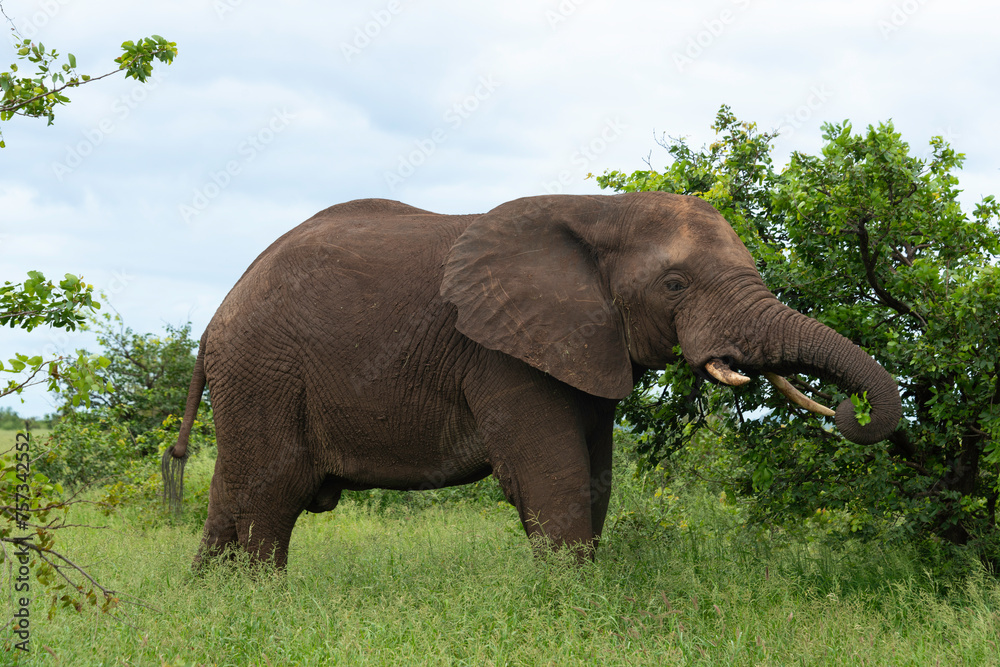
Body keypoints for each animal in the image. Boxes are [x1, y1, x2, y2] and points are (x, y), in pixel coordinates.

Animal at [162, 193, 900, 568]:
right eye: (674, 284)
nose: (848, 407)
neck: (599, 212)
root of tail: (214, 321)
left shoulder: (584, 342)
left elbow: (595, 476)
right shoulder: (498, 352)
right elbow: (554, 477)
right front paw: (572, 604)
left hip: (253, 377)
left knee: (234, 492)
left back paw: (215, 598)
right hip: (266, 371)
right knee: (272, 491)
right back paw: (261, 599)